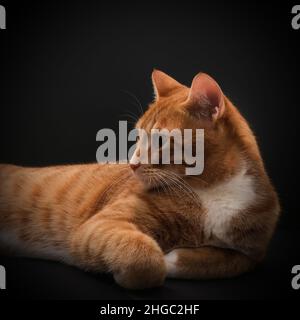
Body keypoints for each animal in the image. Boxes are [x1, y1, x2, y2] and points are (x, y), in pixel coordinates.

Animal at [0, 70, 278, 290]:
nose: (132, 164)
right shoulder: (103, 224)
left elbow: (221, 262)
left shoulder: (253, 253)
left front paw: (174, 257)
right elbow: (145, 260)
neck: (215, 189)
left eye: (159, 141)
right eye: (138, 136)